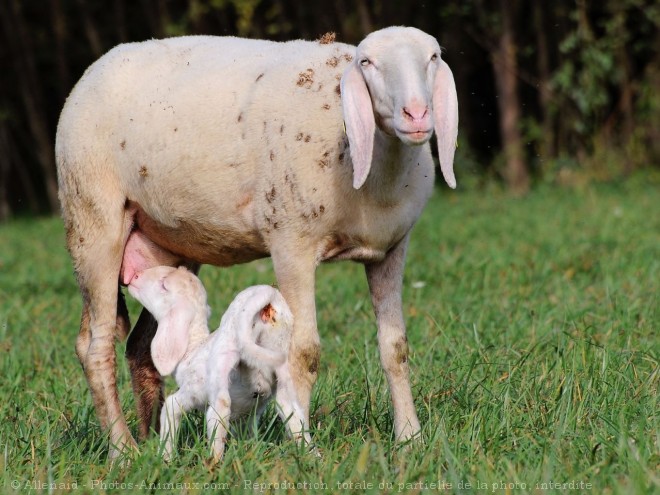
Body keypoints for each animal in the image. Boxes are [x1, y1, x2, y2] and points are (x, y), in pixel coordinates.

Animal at [127, 268, 314, 462]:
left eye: (164, 285)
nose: (134, 276)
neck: (192, 348)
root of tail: (267, 293)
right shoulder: (248, 417)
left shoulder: (191, 391)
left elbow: (171, 409)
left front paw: (165, 459)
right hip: (281, 355)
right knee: (293, 412)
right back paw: (311, 455)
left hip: (224, 352)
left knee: (221, 407)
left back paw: (213, 462)